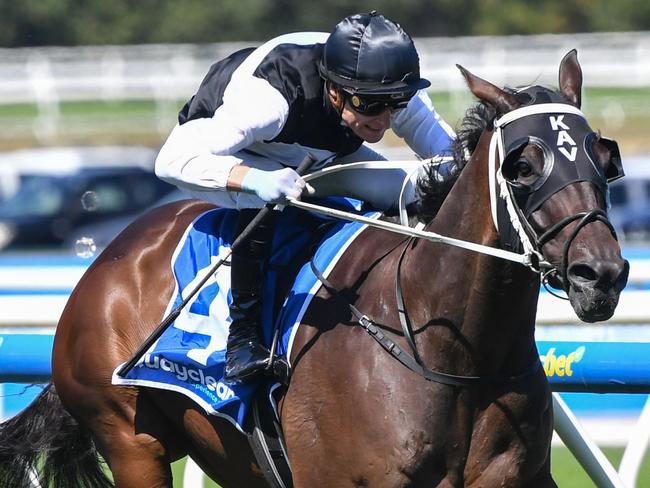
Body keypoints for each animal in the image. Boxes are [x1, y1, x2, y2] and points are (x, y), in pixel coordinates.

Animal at [0, 50, 628, 488]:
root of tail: (106, 258)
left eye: (603, 156)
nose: (601, 275)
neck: (452, 353)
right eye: (522, 166)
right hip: (131, 441)